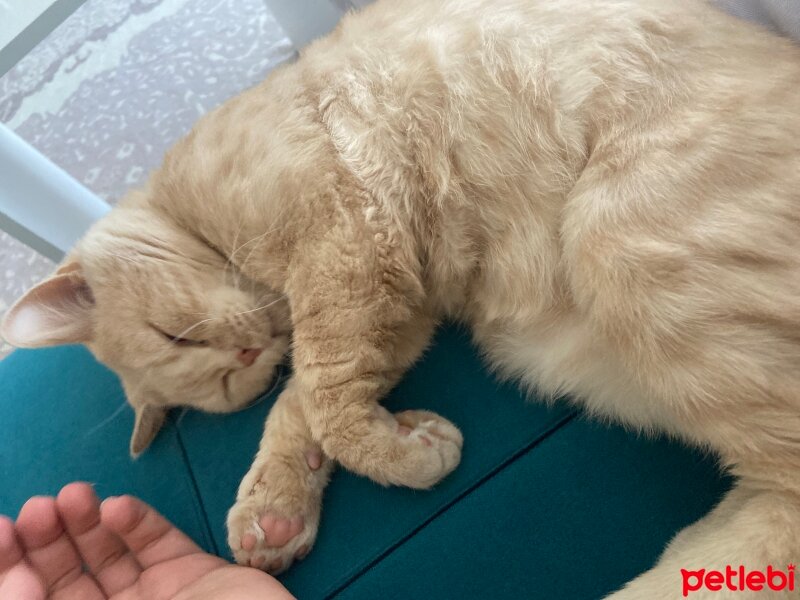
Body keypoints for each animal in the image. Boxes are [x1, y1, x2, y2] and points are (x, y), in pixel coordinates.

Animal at [1, 0, 800, 596]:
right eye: (228, 381)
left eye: (179, 335)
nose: (249, 350)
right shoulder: (395, 301)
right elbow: (303, 401)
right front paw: (275, 509)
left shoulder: (347, 239)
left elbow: (325, 398)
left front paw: (396, 456)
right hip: (572, 353)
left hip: (624, 246)